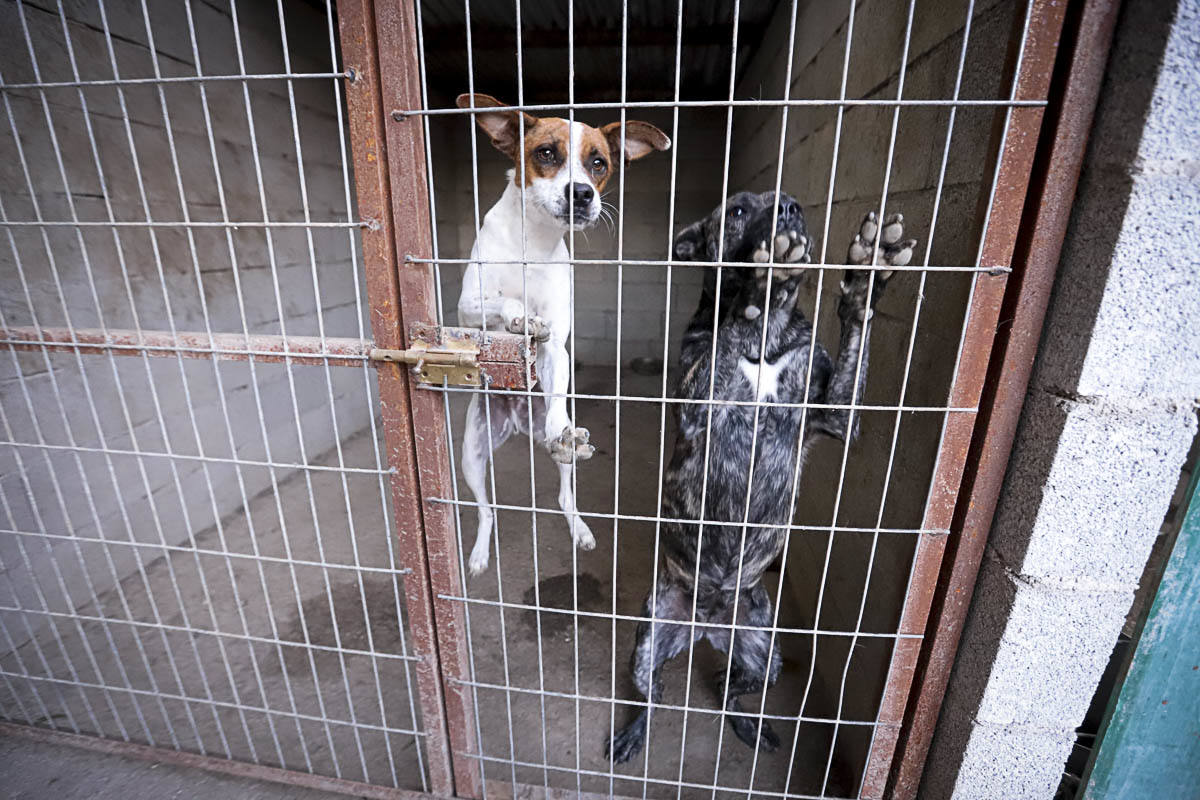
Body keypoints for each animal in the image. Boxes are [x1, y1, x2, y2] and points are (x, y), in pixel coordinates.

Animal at [453, 95, 672, 575]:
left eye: (598, 163)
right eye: (546, 153)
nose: (582, 194)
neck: (533, 243)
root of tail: (517, 421)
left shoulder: (557, 350)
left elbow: (555, 371)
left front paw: (560, 428)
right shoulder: (465, 310)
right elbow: (503, 305)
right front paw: (520, 319)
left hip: (556, 458)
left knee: (563, 493)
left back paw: (578, 518)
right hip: (472, 456)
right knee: (486, 510)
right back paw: (478, 554)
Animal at [609, 191, 916, 762]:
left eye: (793, 202)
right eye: (736, 211)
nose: (790, 211)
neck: (764, 337)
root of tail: (707, 625)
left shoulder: (838, 415)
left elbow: (853, 341)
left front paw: (866, 278)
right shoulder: (696, 405)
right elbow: (728, 331)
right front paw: (760, 284)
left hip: (765, 655)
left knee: (730, 686)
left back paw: (748, 725)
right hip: (645, 643)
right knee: (651, 695)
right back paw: (634, 732)